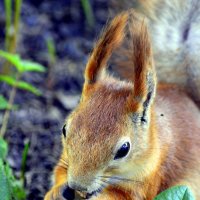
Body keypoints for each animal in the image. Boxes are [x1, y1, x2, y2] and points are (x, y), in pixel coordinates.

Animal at [44, 9, 200, 200]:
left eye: (124, 149)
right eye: (65, 129)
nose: (78, 185)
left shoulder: (148, 181)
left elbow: (123, 196)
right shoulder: (65, 159)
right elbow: (59, 172)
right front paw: (56, 191)